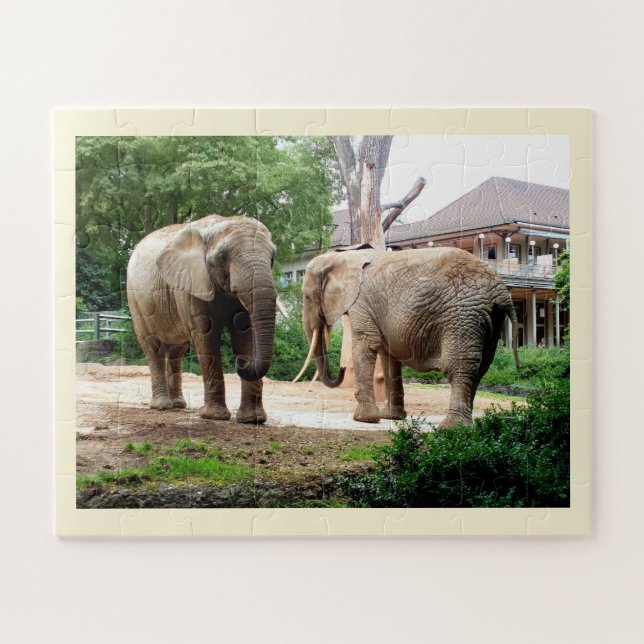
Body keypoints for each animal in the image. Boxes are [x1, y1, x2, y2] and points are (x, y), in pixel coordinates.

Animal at [126, 215, 279, 424]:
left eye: (272, 258)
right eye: (222, 257)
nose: (241, 364)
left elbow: (245, 336)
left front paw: (252, 419)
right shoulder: (190, 285)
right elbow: (205, 337)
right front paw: (215, 417)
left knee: (176, 350)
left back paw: (178, 405)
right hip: (136, 301)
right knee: (152, 346)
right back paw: (162, 406)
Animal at [295, 247, 519, 429]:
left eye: (306, 296)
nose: (341, 368)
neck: (344, 256)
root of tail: (501, 291)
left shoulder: (362, 302)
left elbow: (366, 345)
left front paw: (364, 419)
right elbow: (388, 356)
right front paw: (391, 417)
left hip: (462, 315)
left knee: (460, 367)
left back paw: (452, 428)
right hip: (490, 318)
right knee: (481, 368)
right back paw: (466, 425)